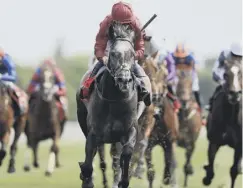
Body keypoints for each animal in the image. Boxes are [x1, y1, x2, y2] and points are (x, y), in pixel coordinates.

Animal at [77, 22, 140, 188]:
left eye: (132, 54)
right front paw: (86, 179)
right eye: (113, 54)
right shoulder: (93, 134)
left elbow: (127, 153)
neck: (115, 101)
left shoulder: (130, 130)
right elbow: (88, 164)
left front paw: (123, 181)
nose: (124, 80)